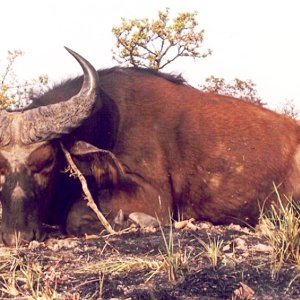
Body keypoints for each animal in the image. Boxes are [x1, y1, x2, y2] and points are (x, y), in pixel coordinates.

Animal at [0, 48, 300, 245]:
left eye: (47, 162)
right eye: (0, 167)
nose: (16, 236)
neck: (106, 121)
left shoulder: (153, 197)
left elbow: (75, 218)